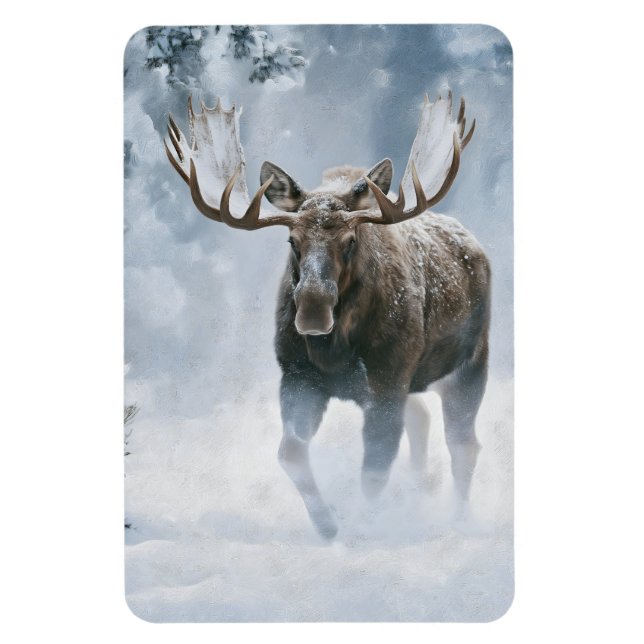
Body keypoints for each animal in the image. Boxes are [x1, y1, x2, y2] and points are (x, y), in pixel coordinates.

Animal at [164, 92, 489, 540]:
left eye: (351, 240)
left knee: (463, 444)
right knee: (422, 418)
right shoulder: (298, 376)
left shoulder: (388, 380)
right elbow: (290, 452)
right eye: (291, 240)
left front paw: (362, 527)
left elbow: (374, 468)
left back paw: (456, 519)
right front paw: (328, 523)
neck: (336, 352)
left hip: (470, 363)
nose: (313, 312)